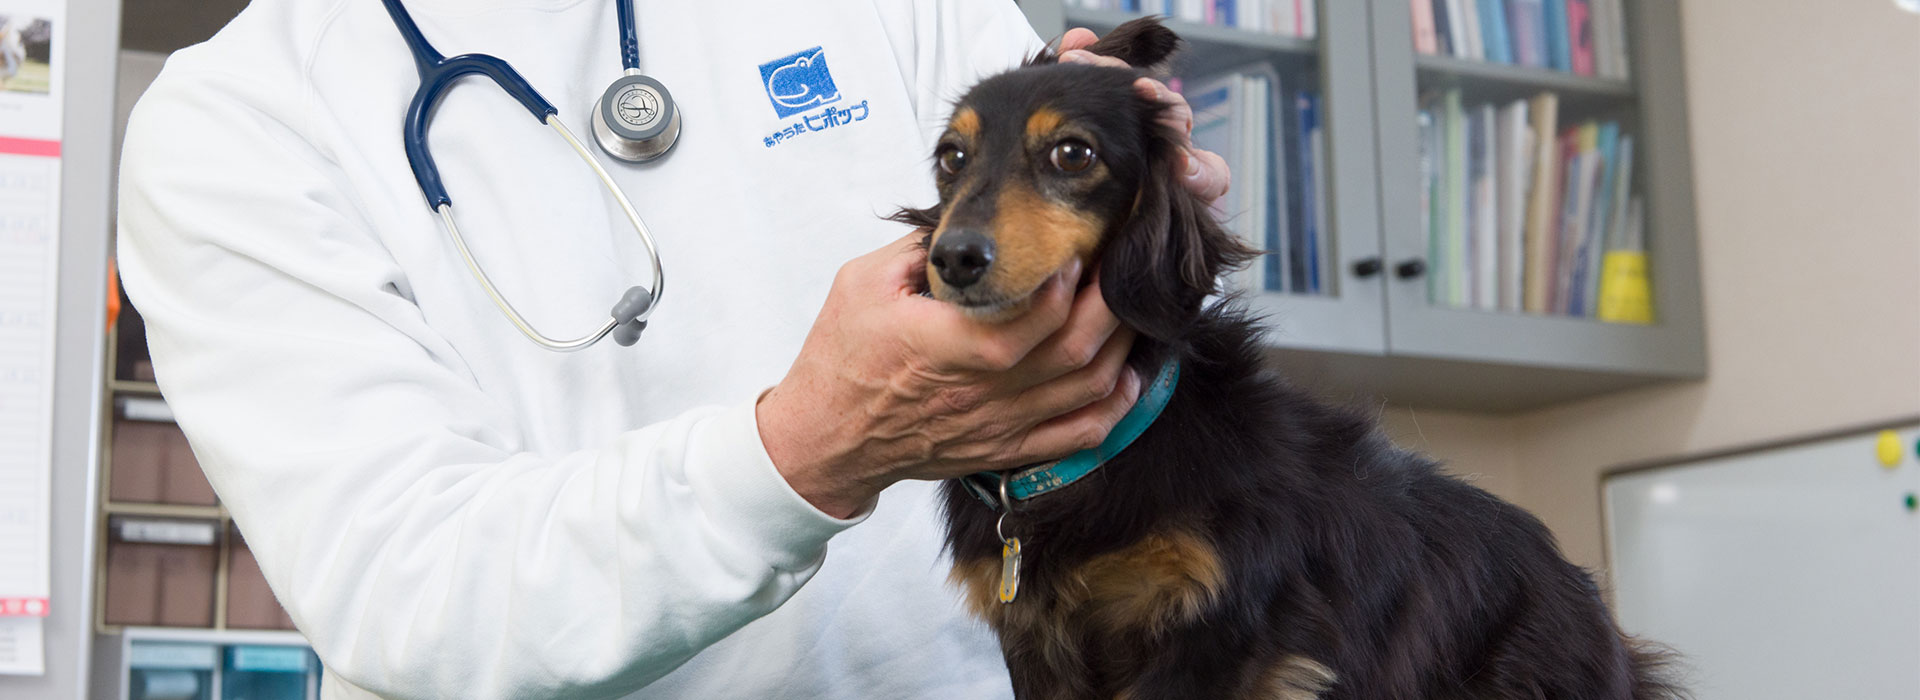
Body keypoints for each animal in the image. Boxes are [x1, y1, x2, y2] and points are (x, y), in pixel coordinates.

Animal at [887, 16, 1681, 698]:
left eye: (1072, 153)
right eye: (951, 158)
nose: (954, 258)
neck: (1091, 463)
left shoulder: (1219, 632)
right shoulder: (1037, 648)